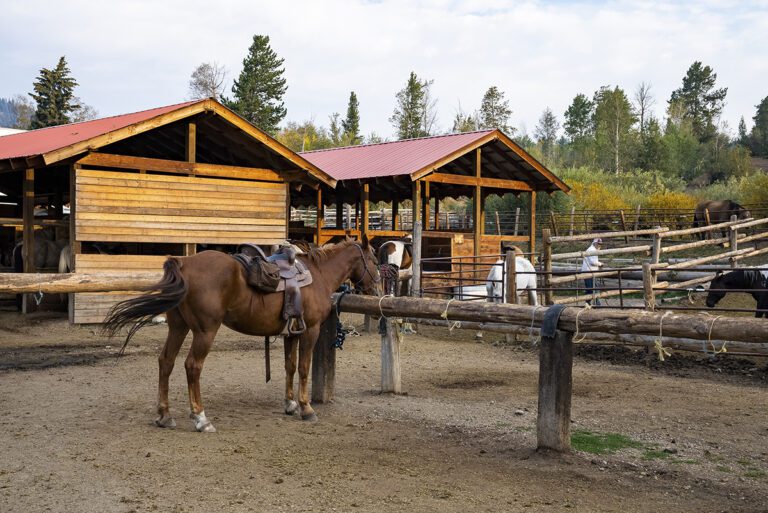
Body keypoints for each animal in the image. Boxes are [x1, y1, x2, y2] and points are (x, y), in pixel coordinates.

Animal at [103, 237, 381, 432]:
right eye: (376, 262)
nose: (377, 291)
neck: (319, 275)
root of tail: (184, 262)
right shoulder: (310, 330)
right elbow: (303, 368)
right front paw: (306, 408)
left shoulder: (292, 332)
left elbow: (290, 367)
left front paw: (290, 404)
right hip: (205, 330)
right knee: (192, 366)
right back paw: (201, 419)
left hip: (178, 327)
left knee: (166, 362)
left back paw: (164, 415)